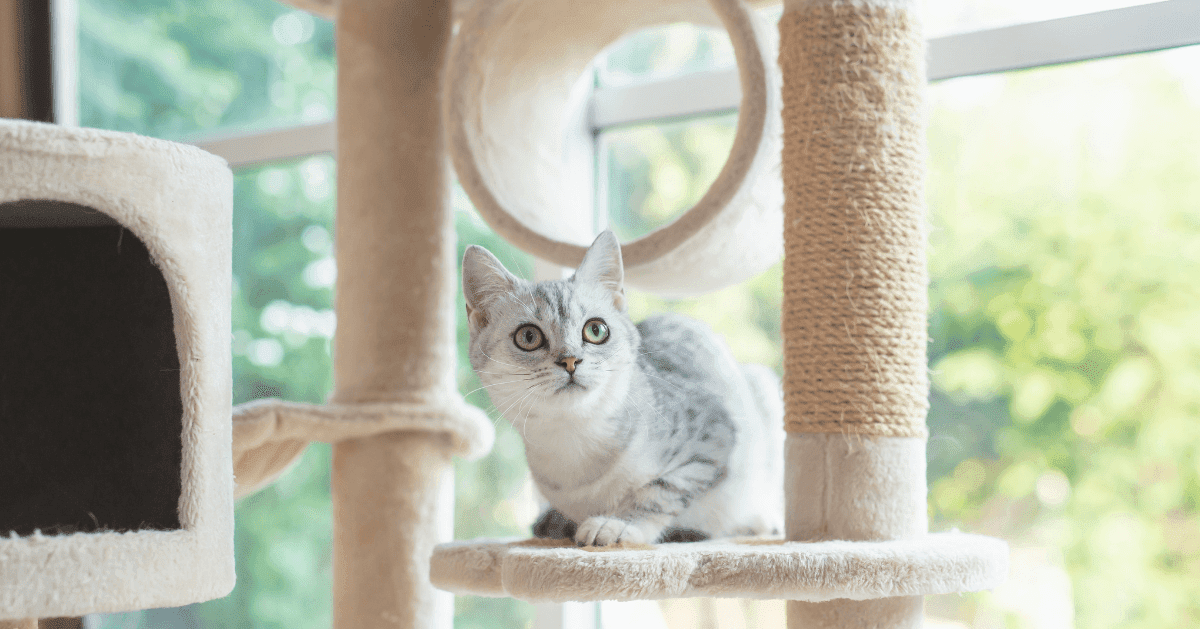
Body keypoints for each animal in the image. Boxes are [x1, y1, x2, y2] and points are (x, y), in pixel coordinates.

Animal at [460, 229, 787, 544]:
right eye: (528, 337)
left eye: (596, 330)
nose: (570, 360)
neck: (574, 443)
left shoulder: (712, 436)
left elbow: (658, 491)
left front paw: (617, 523)